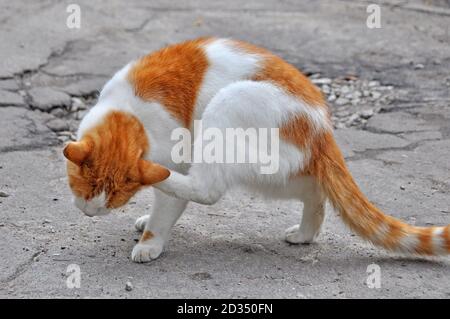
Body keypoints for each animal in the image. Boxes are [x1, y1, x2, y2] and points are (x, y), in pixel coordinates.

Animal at [64, 37, 450, 262]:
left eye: (115, 198)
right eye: (84, 188)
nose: (91, 212)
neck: (130, 110)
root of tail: (323, 127)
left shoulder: (177, 154)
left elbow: (166, 209)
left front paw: (149, 242)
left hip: (230, 102)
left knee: (207, 189)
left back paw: (161, 179)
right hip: (276, 172)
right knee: (315, 192)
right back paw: (306, 233)